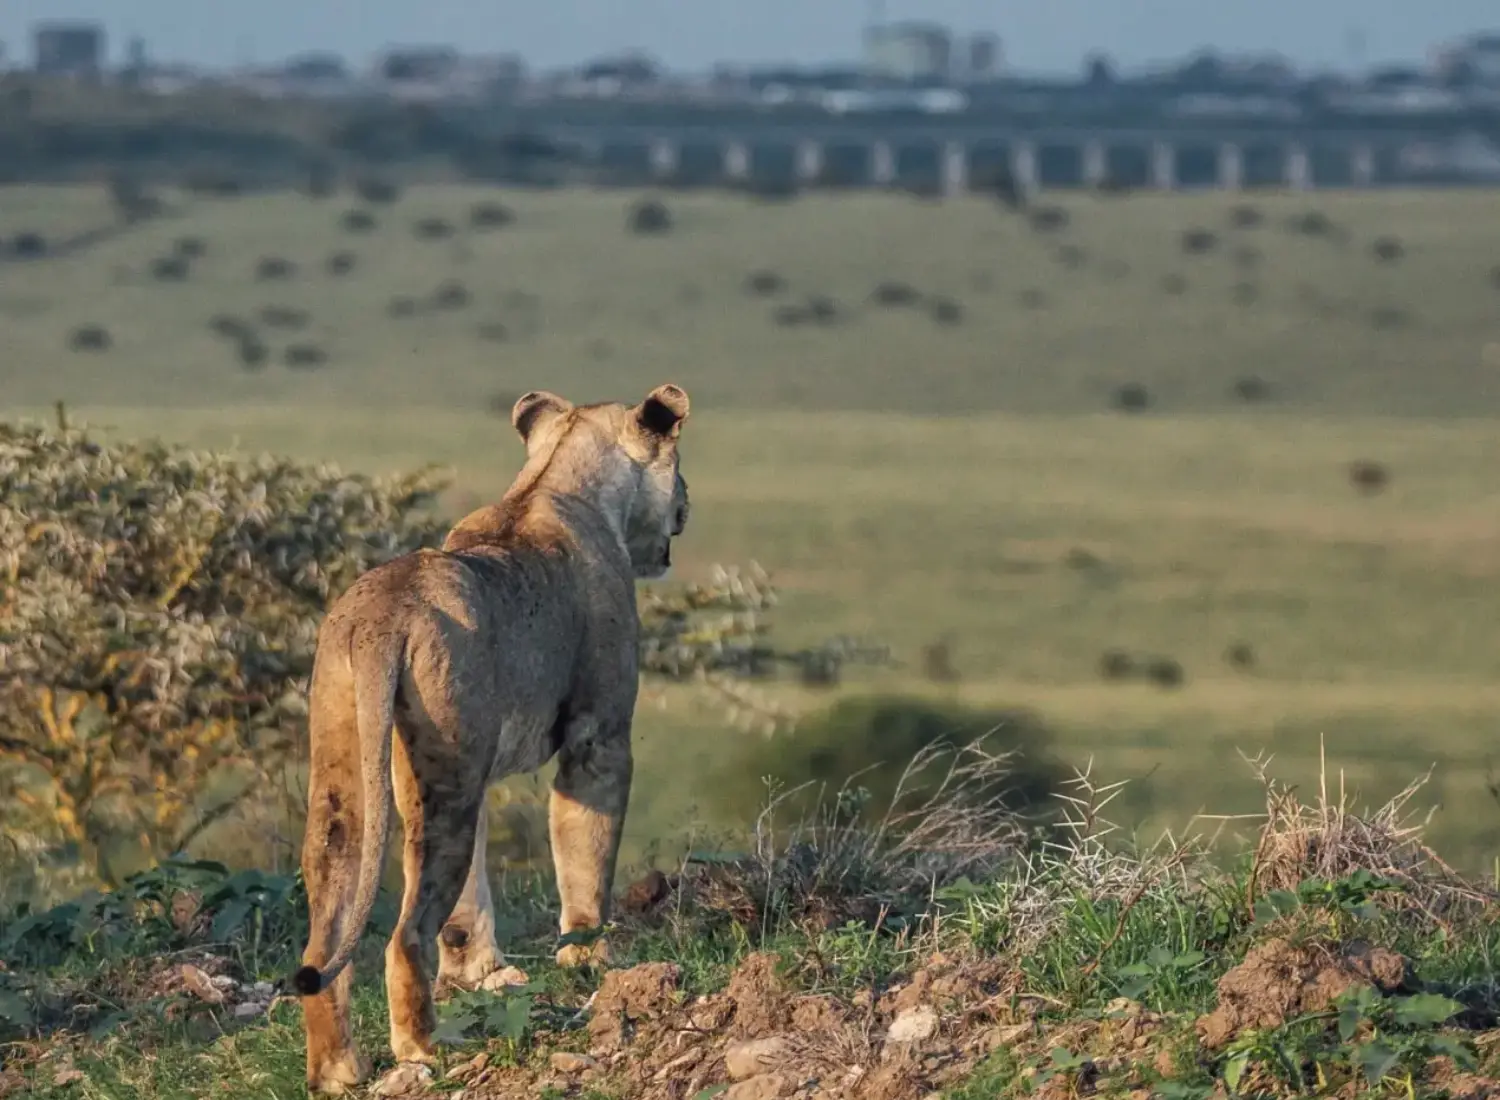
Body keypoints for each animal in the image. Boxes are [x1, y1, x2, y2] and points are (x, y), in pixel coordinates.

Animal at [288, 383, 692, 1094]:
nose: (687, 504)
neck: (555, 481)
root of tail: (382, 617)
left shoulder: (477, 766)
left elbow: (471, 900)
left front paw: (478, 974)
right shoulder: (598, 737)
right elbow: (586, 858)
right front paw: (590, 958)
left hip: (358, 767)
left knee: (332, 923)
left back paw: (338, 1070)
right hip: (445, 778)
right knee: (406, 934)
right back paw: (424, 1048)